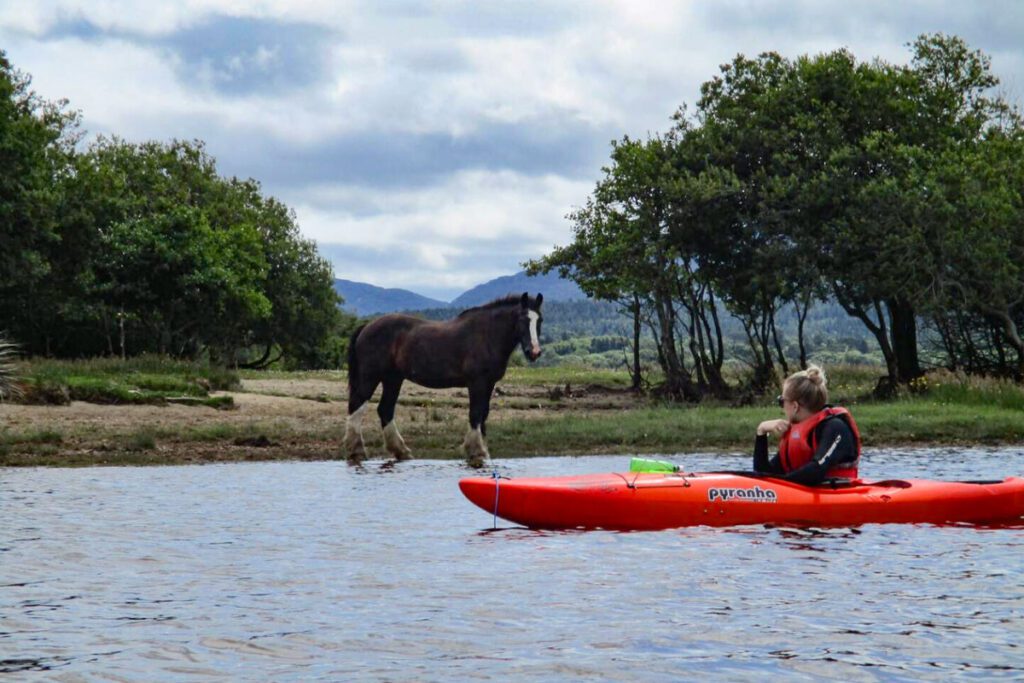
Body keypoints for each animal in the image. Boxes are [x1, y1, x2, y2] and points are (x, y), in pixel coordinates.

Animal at [344, 290, 544, 466]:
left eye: (539, 320)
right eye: (523, 319)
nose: (534, 352)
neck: (486, 335)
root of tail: (367, 327)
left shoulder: (489, 384)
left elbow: (483, 415)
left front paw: (483, 451)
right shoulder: (477, 383)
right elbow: (475, 414)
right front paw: (476, 451)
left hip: (393, 379)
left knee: (385, 410)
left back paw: (402, 451)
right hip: (370, 377)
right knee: (357, 405)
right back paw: (357, 451)